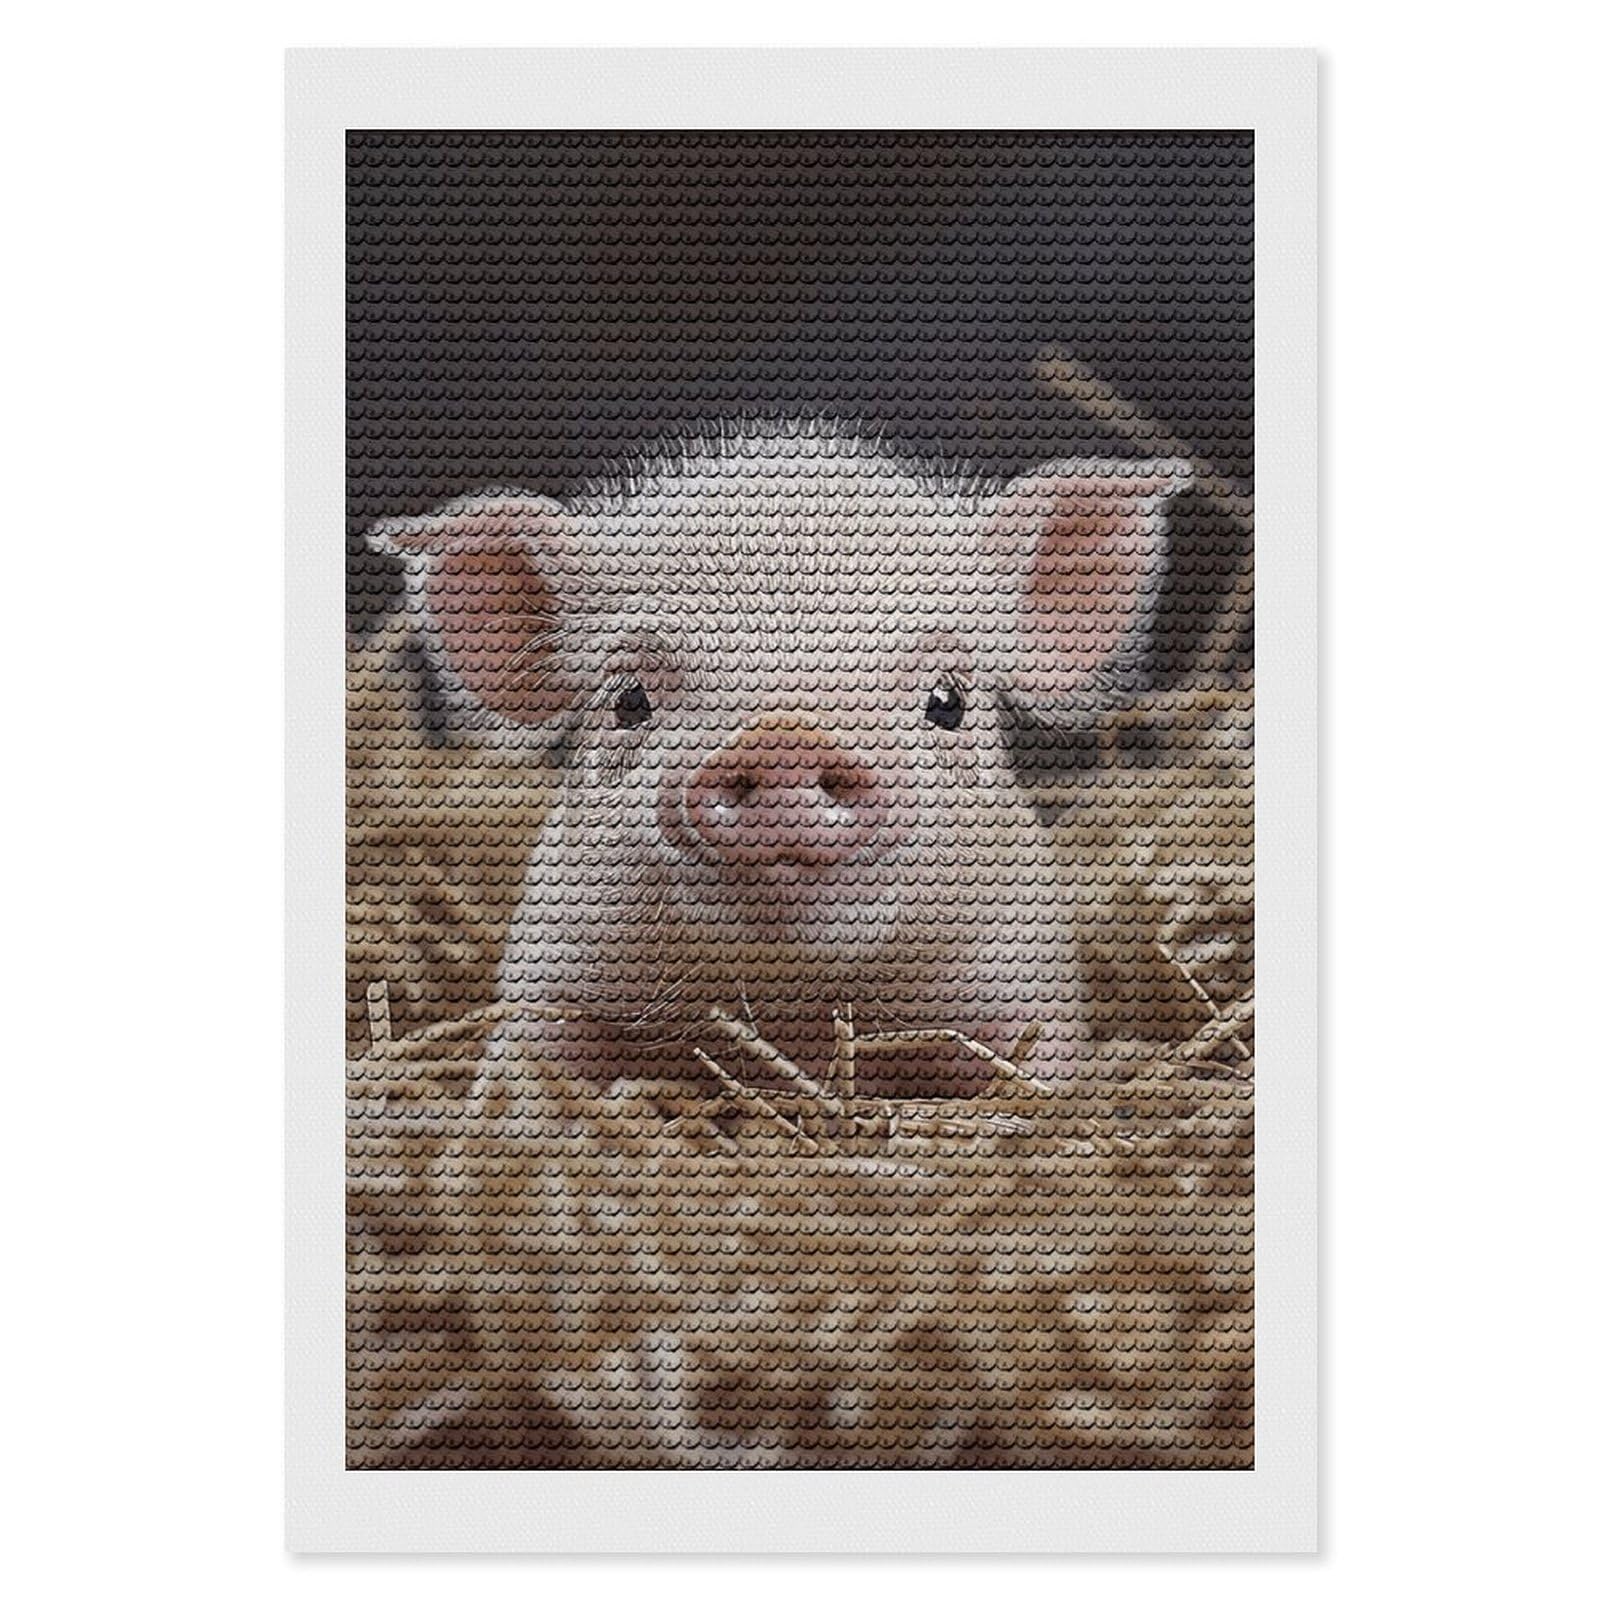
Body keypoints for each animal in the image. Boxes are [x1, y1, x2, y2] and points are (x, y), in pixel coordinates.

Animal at [374, 420, 1188, 1097]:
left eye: (948, 700)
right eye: (630, 698)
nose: (785, 740)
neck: (793, 1012)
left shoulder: (1029, 986)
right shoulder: (552, 973)